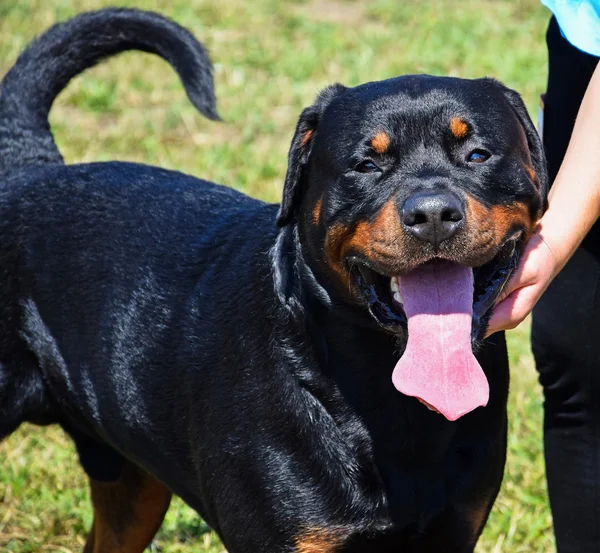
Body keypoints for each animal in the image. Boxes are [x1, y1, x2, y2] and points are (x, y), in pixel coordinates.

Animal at [0, 7, 548, 552]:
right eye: (366, 164)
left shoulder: (454, 528)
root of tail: (28, 166)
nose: (433, 213)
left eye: (477, 155)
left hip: (133, 484)